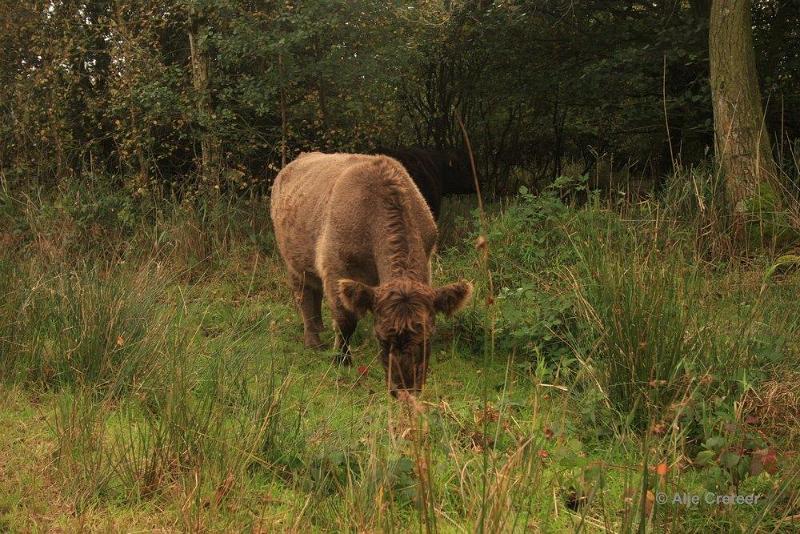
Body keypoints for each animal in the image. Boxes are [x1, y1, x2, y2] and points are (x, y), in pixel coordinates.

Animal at [270, 153, 468, 396]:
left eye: (427, 338)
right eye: (381, 339)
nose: (406, 388)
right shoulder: (335, 267)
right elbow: (345, 320)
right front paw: (342, 360)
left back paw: (320, 327)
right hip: (294, 262)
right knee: (305, 296)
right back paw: (313, 340)